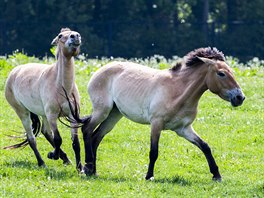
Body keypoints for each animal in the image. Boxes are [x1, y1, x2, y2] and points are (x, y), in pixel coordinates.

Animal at [5, 27, 83, 172]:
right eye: (60, 36)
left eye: (75, 32)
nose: (75, 36)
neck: (62, 87)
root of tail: (14, 72)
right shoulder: (52, 115)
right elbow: (58, 139)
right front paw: (52, 155)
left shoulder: (73, 116)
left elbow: (75, 142)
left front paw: (80, 168)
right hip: (23, 113)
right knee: (31, 138)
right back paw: (42, 162)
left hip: (43, 114)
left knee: (45, 132)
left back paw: (66, 159)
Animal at [70, 46, 245, 181]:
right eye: (221, 73)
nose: (240, 97)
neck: (178, 91)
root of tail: (98, 71)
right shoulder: (156, 124)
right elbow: (154, 152)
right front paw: (149, 176)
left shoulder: (184, 129)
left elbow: (205, 147)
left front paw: (216, 175)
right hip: (102, 110)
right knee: (87, 130)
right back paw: (87, 167)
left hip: (114, 115)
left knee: (96, 137)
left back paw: (93, 171)